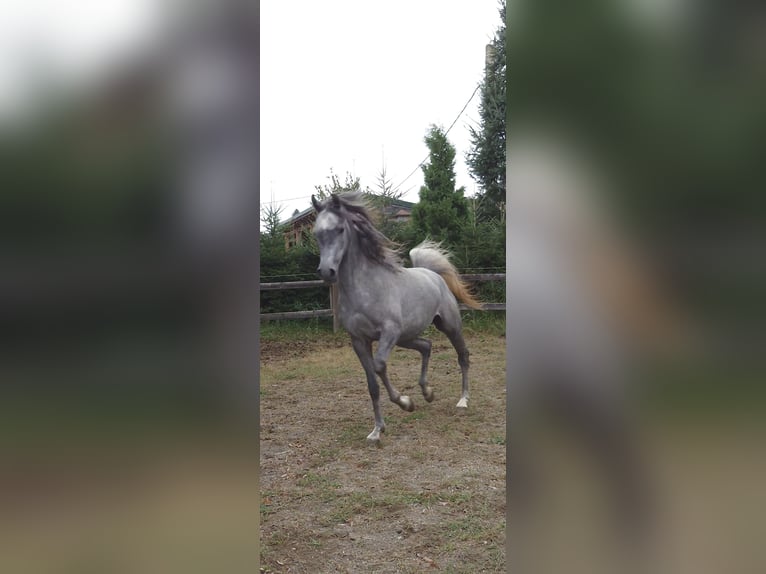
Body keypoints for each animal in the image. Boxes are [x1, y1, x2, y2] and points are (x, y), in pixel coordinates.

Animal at [310, 194, 480, 446]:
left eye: (340, 229)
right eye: (316, 233)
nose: (326, 272)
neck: (365, 288)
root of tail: (433, 275)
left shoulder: (388, 333)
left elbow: (380, 366)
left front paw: (406, 403)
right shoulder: (359, 340)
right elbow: (372, 384)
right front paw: (377, 430)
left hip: (449, 327)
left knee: (463, 356)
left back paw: (463, 400)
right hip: (406, 337)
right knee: (426, 346)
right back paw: (427, 393)